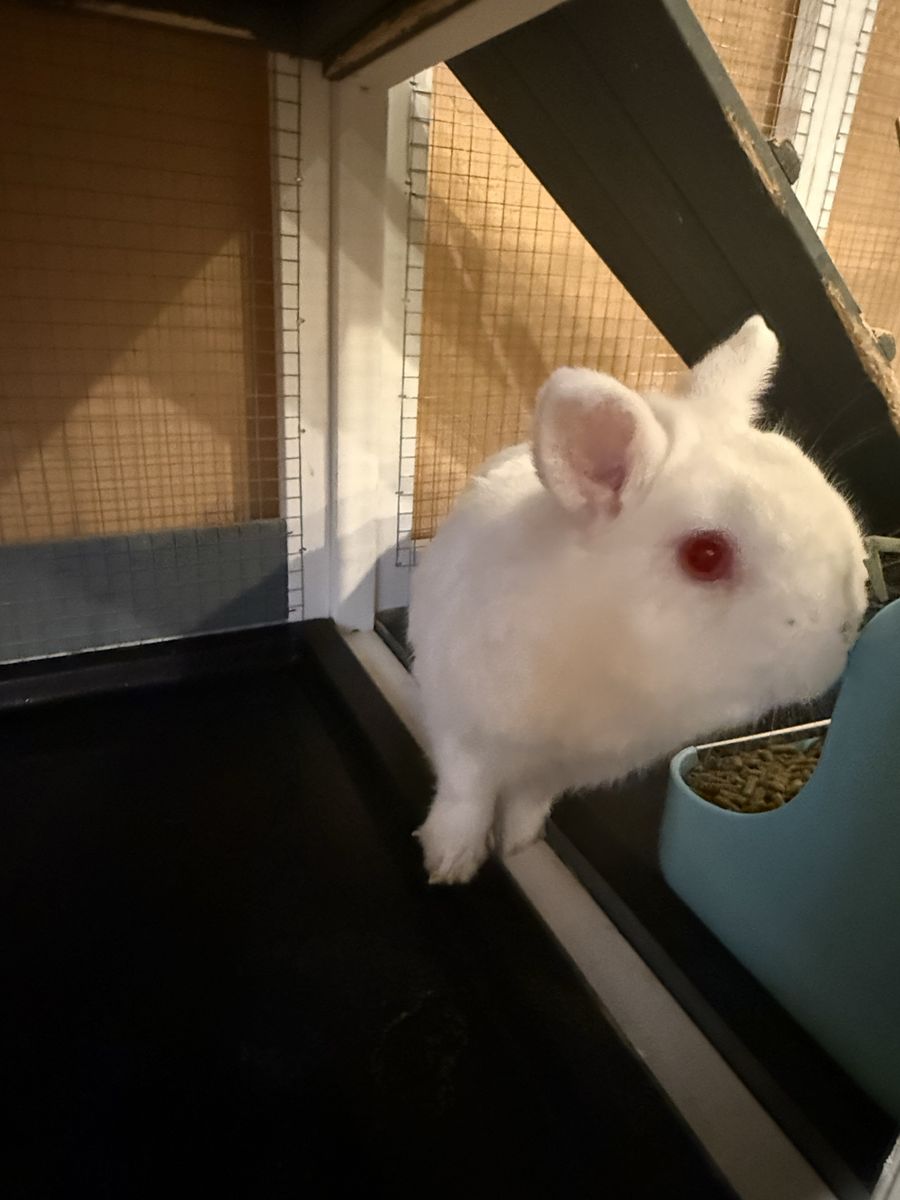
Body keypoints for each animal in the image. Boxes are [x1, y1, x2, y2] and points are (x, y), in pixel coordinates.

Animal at [408, 316, 869, 885]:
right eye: (705, 555)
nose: (847, 626)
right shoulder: (464, 730)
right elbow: (464, 797)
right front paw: (451, 863)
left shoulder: (561, 771)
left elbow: (528, 803)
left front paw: (521, 844)